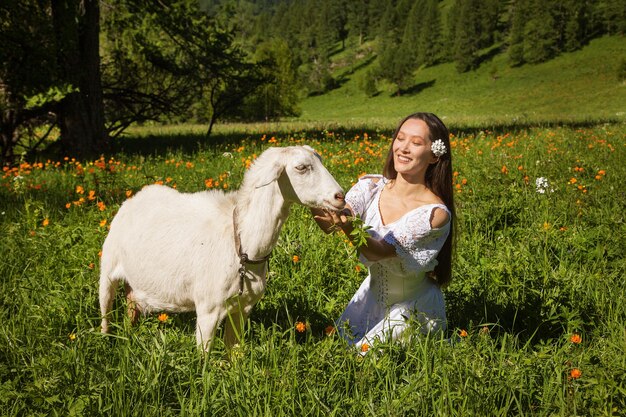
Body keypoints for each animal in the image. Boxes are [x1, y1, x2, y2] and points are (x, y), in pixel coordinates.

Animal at [99, 145, 344, 350]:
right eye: (301, 167)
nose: (340, 196)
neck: (241, 243)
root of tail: (135, 198)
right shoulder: (208, 309)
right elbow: (204, 359)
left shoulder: (243, 307)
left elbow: (234, 351)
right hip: (108, 268)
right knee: (105, 310)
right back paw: (106, 341)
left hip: (136, 285)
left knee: (131, 306)